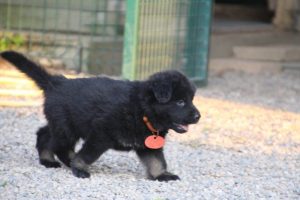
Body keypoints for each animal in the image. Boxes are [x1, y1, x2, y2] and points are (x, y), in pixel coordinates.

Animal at [1, 51, 202, 181]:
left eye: (191, 99)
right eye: (180, 102)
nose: (198, 116)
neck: (141, 109)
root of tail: (56, 81)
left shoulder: (148, 144)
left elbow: (157, 161)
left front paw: (161, 175)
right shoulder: (100, 134)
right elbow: (87, 155)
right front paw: (79, 167)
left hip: (61, 123)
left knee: (44, 133)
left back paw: (48, 160)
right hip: (67, 127)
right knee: (60, 146)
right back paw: (67, 161)